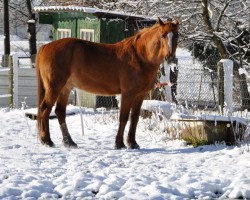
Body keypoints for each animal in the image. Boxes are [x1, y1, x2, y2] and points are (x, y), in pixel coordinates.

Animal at [36, 18, 179, 148]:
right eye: (163, 35)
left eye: (177, 35)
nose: (170, 58)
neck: (140, 56)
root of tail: (45, 47)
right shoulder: (128, 94)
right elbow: (123, 117)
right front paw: (119, 143)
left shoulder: (140, 95)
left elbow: (134, 118)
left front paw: (132, 143)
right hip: (54, 87)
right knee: (45, 109)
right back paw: (47, 140)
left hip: (65, 88)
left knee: (59, 112)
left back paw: (69, 142)